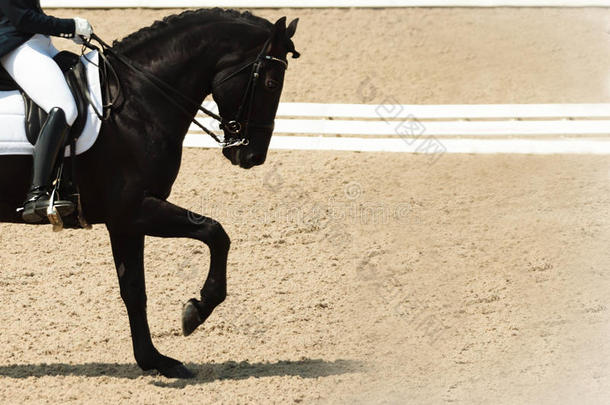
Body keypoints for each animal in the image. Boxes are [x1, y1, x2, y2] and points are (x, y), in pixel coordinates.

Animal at [0, 7, 296, 378]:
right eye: (271, 83)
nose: (253, 156)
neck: (135, 101)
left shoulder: (127, 222)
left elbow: (134, 290)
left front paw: (155, 360)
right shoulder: (132, 210)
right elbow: (215, 233)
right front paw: (196, 311)